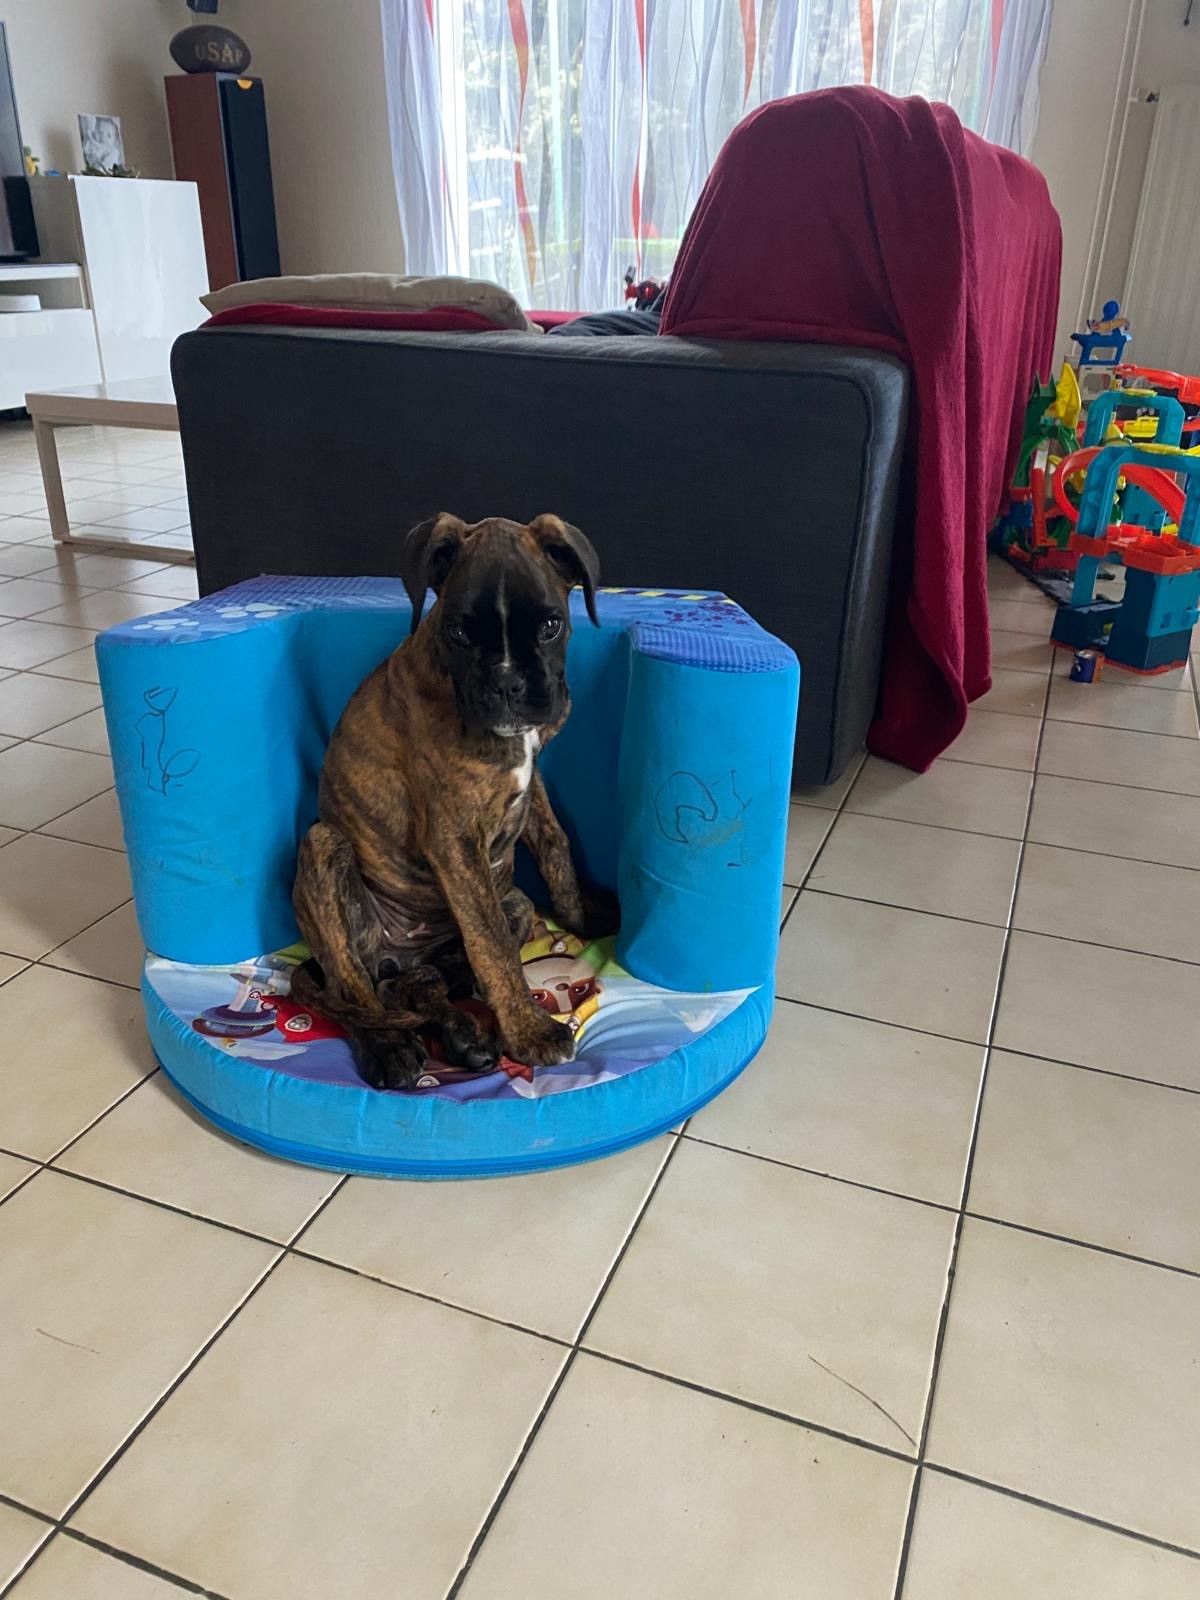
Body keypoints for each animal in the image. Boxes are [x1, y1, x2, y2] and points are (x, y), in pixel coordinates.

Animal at [291, 513, 618, 1090]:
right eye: (459, 633)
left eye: (550, 626)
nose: (509, 685)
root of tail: (397, 953)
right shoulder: (454, 836)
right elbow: (490, 946)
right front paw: (529, 1032)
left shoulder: (530, 781)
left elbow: (555, 847)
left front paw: (582, 916)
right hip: (325, 849)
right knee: (354, 990)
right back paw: (391, 1049)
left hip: (513, 904)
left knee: (414, 984)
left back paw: (463, 1035)